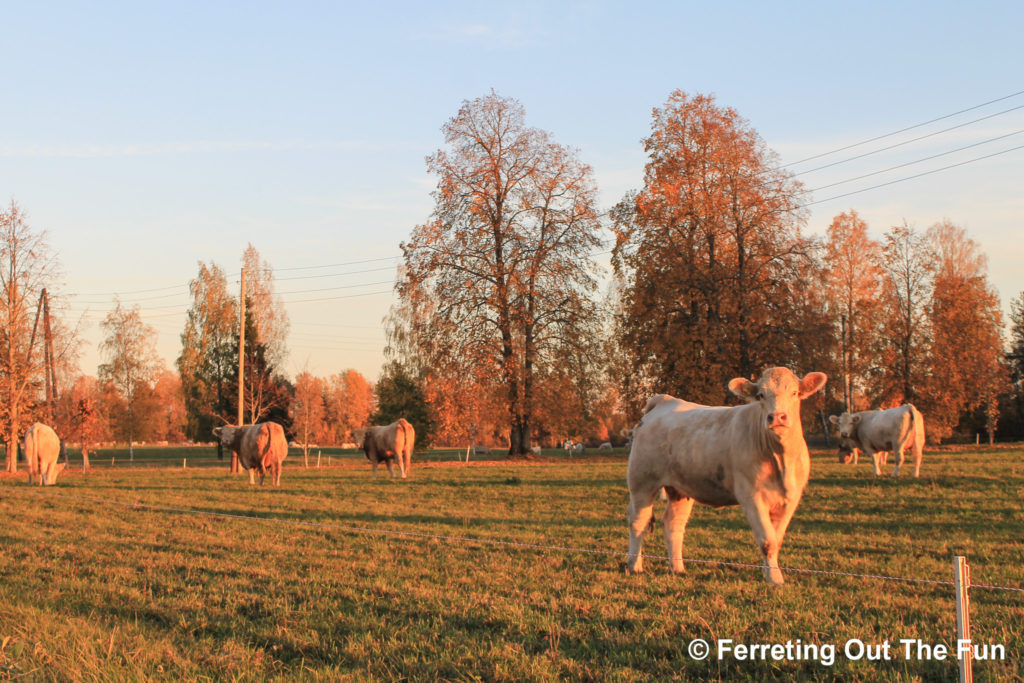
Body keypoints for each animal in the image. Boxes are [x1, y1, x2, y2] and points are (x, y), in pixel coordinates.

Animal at [622, 368, 831, 589]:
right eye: (760, 395)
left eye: (794, 392)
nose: (777, 417)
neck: (781, 459)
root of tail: (664, 401)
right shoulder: (751, 496)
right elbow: (767, 541)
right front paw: (775, 579)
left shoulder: (791, 498)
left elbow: (776, 539)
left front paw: (770, 573)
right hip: (642, 481)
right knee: (638, 522)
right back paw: (634, 565)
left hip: (680, 488)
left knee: (673, 523)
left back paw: (677, 568)